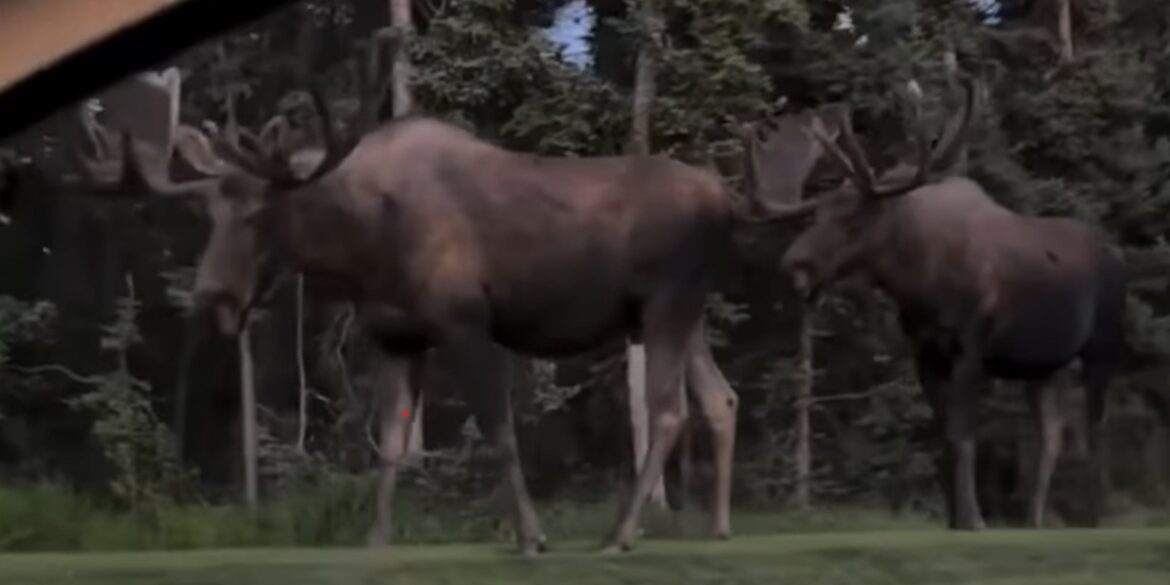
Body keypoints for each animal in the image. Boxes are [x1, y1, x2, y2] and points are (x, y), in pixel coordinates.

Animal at [58, 28, 842, 554]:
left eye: (262, 212)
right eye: (206, 214)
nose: (213, 300)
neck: (363, 249)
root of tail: (732, 202)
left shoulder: (469, 321)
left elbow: (499, 431)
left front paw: (531, 537)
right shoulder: (394, 336)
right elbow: (390, 446)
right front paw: (376, 541)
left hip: (667, 304)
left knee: (667, 410)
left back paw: (622, 534)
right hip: (686, 314)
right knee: (720, 399)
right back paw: (718, 526)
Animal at [757, 76, 1126, 531]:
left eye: (853, 219)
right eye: (816, 216)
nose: (793, 264)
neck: (920, 283)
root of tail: (1118, 257)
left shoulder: (972, 348)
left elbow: (961, 436)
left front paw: (973, 520)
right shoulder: (925, 353)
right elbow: (941, 437)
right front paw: (954, 519)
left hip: (1102, 349)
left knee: (1096, 428)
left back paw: (1091, 517)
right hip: (1043, 367)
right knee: (1051, 437)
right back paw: (1034, 520)